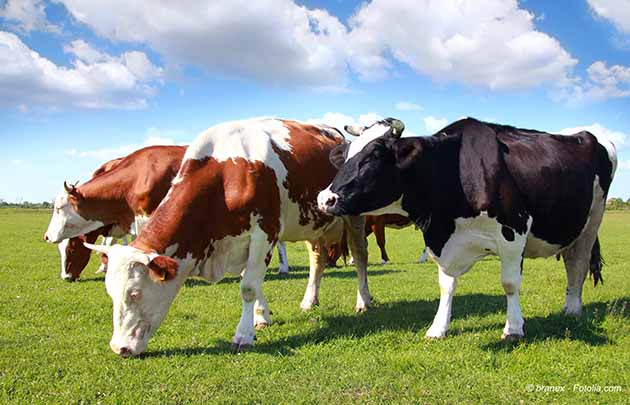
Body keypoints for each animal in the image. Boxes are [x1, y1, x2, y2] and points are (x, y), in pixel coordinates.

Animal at [51, 118, 372, 356]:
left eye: (135, 293)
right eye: (111, 293)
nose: (119, 348)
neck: (227, 171)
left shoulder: (264, 231)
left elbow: (248, 286)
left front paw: (244, 334)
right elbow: (254, 283)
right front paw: (262, 317)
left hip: (352, 215)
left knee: (360, 257)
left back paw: (363, 301)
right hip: (313, 223)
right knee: (318, 259)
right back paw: (309, 300)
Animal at [318, 117, 620, 340]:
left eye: (375, 155)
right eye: (347, 155)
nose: (325, 198)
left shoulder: (515, 231)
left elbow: (510, 284)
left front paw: (513, 329)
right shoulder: (444, 240)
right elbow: (446, 285)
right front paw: (438, 328)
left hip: (593, 219)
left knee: (577, 263)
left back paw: (573, 309)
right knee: (571, 260)